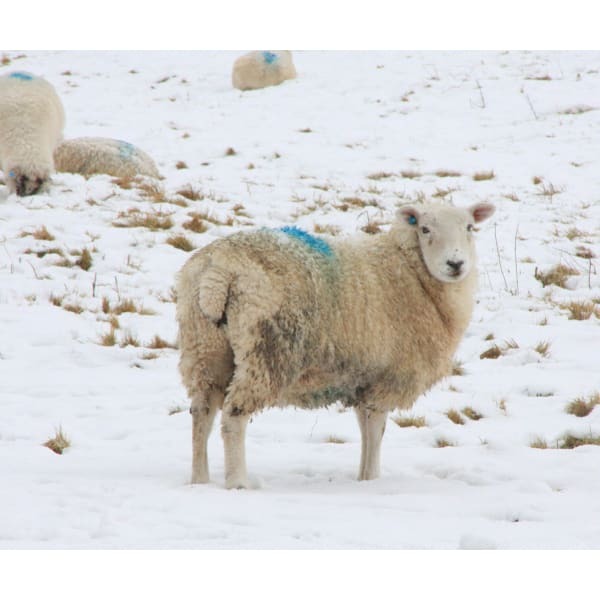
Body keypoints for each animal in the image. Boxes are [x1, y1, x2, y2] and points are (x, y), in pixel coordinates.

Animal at [178, 202, 496, 488]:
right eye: (425, 228)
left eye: (470, 227)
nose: (455, 264)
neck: (410, 272)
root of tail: (218, 270)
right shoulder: (387, 378)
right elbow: (375, 430)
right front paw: (372, 479)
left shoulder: (363, 378)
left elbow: (365, 429)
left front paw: (363, 477)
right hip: (267, 348)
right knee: (234, 415)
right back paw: (238, 482)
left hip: (204, 346)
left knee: (201, 412)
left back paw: (199, 479)